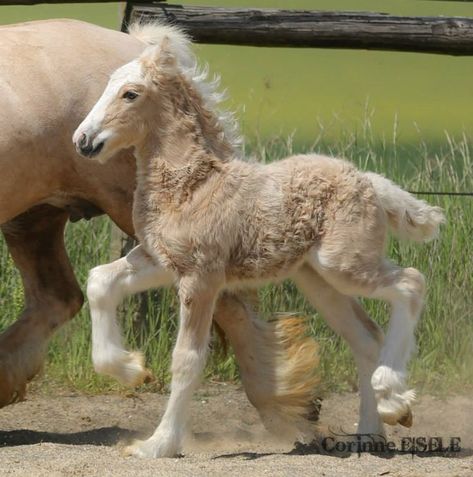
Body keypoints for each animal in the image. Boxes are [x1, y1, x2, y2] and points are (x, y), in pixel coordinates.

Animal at [0, 18, 320, 432]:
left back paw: (283, 404)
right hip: (34, 216)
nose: (84, 140)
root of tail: (141, 46)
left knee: (234, 307)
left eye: (128, 95)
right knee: (56, 297)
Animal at [73, 24, 442, 456]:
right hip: (317, 278)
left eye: (130, 93)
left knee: (411, 283)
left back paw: (392, 396)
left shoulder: (201, 277)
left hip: (344, 264)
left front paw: (158, 445)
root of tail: (369, 181)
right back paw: (372, 429)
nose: (83, 140)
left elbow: (187, 359)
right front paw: (130, 368)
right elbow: (99, 281)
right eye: (107, 83)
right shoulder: (161, 261)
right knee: (366, 336)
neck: (193, 186)